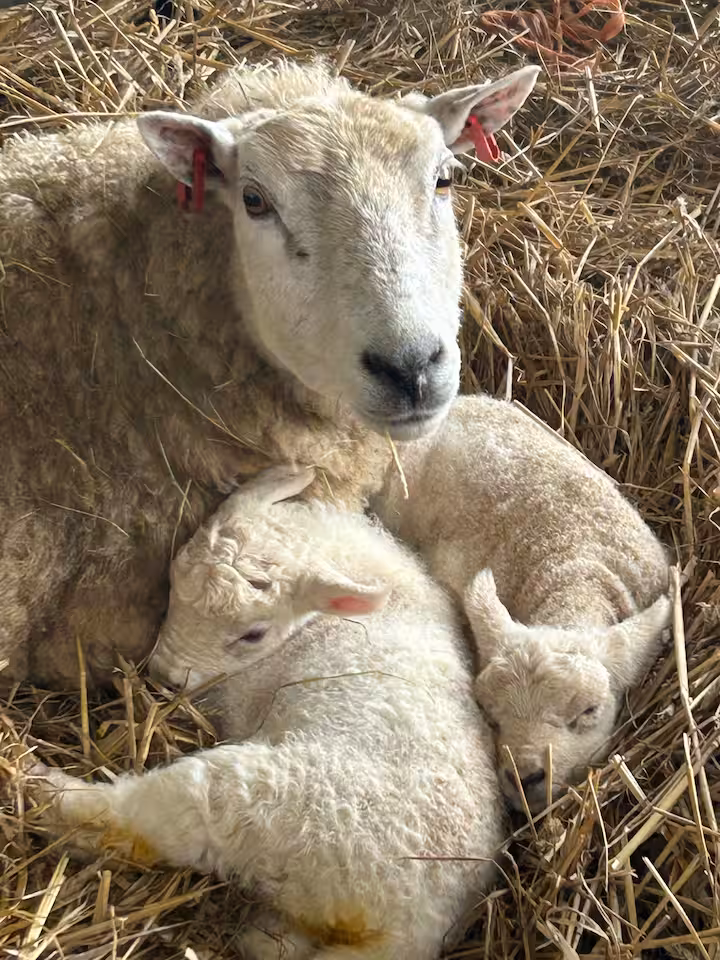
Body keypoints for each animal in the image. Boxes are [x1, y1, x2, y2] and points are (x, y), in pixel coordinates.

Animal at [28, 465, 505, 960]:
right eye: (173, 583)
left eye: (253, 634)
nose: (165, 675)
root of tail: (412, 926)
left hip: (261, 801)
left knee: (140, 818)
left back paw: (41, 786)